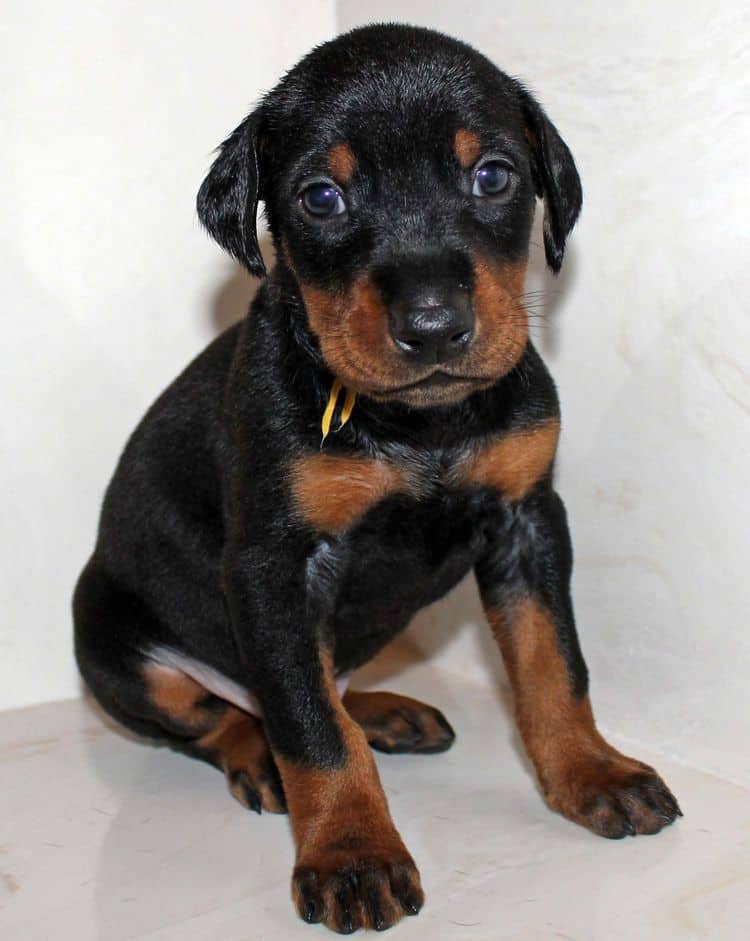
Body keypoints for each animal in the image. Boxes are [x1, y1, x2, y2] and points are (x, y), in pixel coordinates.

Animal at [75, 22, 680, 932]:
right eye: (321, 197)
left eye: (493, 175)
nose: (432, 326)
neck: (417, 424)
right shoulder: (272, 569)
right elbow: (311, 727)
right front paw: (352, 853)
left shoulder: (529, 519)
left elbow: (553, 664)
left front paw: (590, 771)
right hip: (109, 637)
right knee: (225, 713)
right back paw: (260, 754)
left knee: (325, 681)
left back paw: (387, 710)